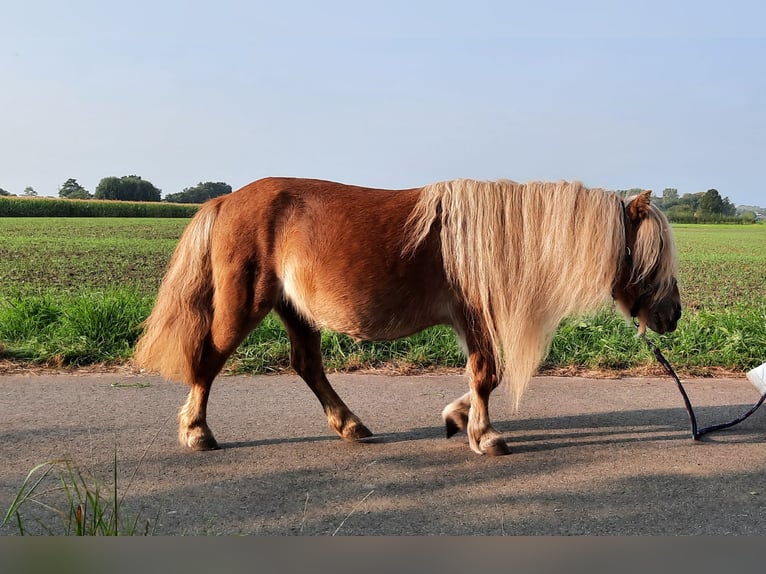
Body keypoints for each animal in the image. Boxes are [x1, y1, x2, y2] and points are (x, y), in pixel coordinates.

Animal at [134, 178, 684, 456]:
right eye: (653, 258)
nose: (673, 315)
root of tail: (227, 199)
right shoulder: (473, 315)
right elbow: (487, 375)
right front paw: (485, 435)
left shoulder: (471, 321)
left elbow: (481, 377)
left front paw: (459, 417)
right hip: (245, 302)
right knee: (208, 359)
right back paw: (197, 431)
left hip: (295, 309)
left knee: (307, 364)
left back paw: (350, 425)